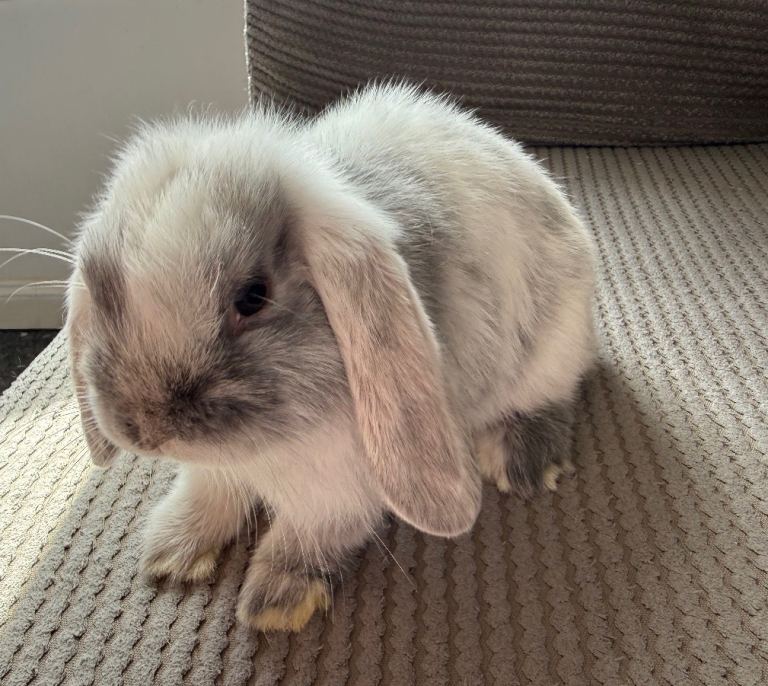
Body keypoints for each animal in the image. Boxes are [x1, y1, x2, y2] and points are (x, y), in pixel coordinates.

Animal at [66, 83, 596, 632]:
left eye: (253, 297)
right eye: (102, 294)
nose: (142, 430)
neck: (260, 455)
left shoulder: (338, 494)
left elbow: (308, 536)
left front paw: (277, 602)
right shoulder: (214, 473)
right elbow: (207, 496)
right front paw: (172, 552)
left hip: (551, 348)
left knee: (554, 394)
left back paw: (523, 465)